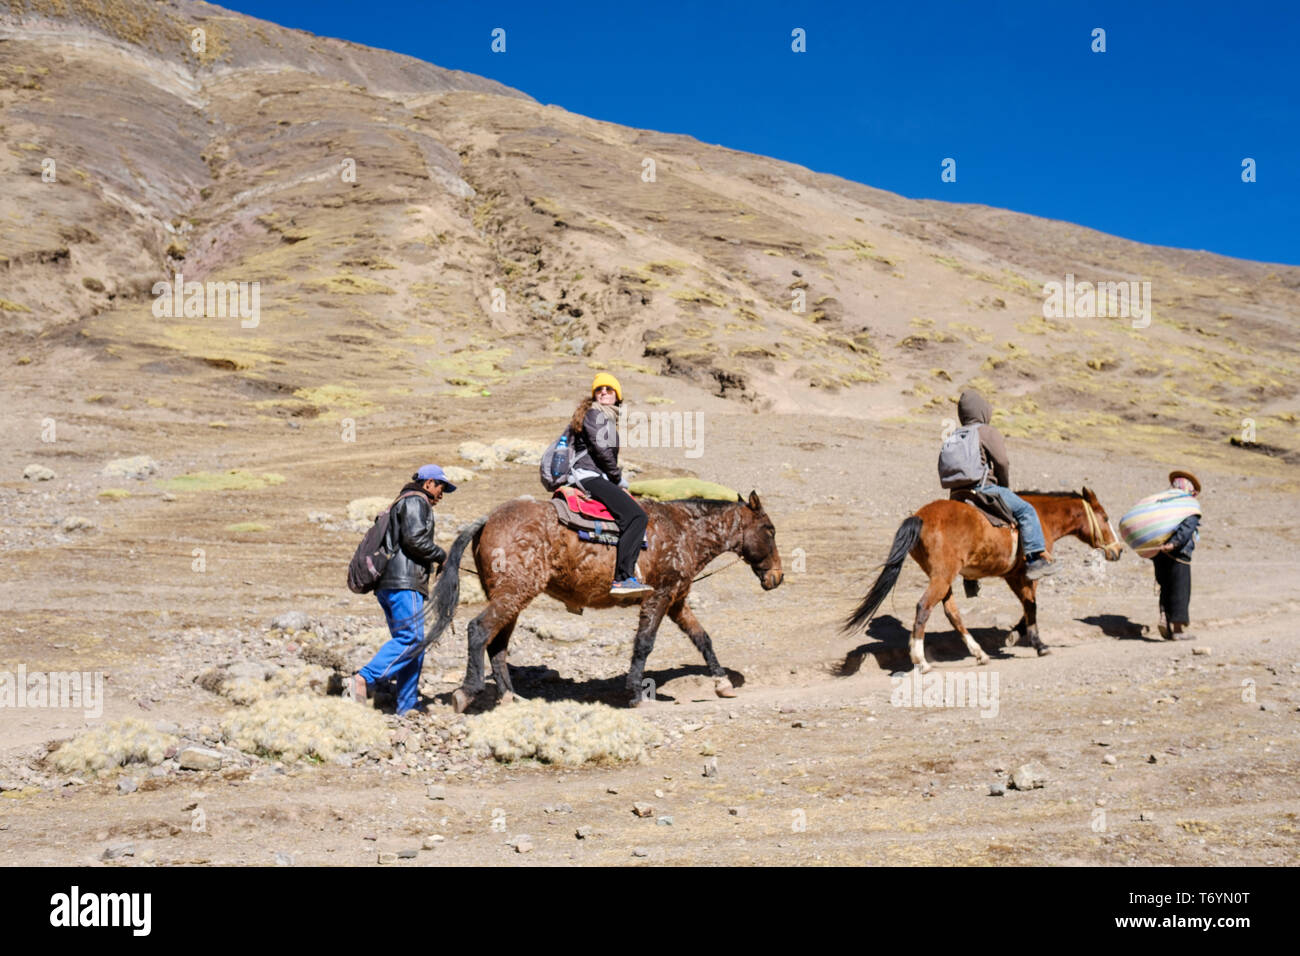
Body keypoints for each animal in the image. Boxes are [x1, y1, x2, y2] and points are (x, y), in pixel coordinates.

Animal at [400, 494, 780, 712]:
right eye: (770, 529)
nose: (777, 577)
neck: (684, 530)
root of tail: (488, 520)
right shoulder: (658, 597)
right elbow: (644, 643)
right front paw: (636, 693)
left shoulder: (676, 600)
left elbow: (703, 639)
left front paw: (722, 682)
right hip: (513, 593)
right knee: (479, 630)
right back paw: (467, 692)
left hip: (512, 597)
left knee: (498, 645)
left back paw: (511, 697)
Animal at [842, 494, 1118, 671]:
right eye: (1105, 518)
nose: (1118, 550)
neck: (1042, 517)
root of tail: (919, 517)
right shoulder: (1026, 574)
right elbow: (1031, 605)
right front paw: (1037, 643)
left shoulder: (1012, 576)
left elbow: (1028, 605)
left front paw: (1015, 634)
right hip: (942, 577)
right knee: (924, 607)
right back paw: (921, 660)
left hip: (943, 578)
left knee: (951, 612)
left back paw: (979, 654)